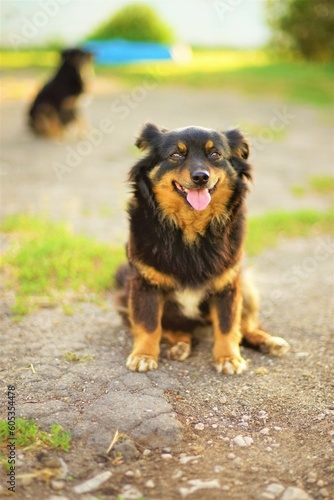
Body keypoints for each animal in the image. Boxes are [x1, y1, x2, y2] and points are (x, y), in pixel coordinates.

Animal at [117, 123, 290, 374]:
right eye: (176, 155)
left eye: (215, 154)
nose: (201, 177)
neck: (190, 229)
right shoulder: (144, 284)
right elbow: (149, 324)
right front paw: (144, 355)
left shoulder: (228, 284)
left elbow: (228, 325)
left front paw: (228, 357)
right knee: (172, 330)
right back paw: (180, 344)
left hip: (247, 288)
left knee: (245, 327)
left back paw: (268, 341)